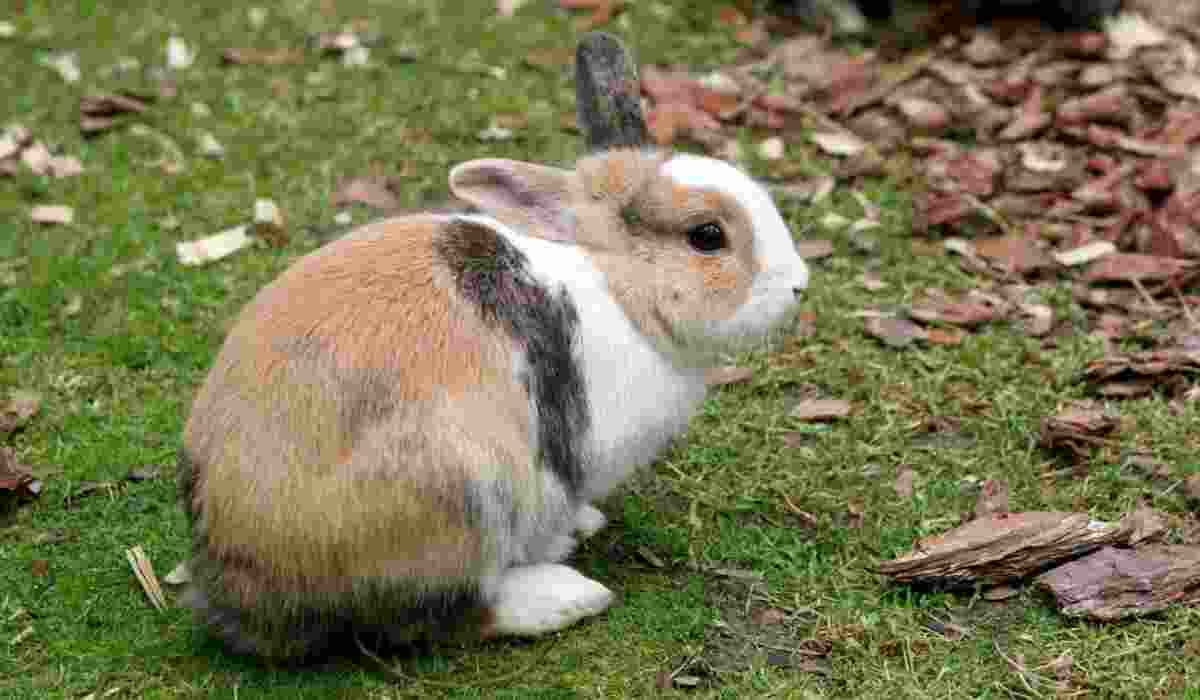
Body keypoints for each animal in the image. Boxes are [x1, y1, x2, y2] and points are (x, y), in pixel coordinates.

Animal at [177, 32, 811, 667]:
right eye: (707, 236)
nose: (800, 285)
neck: (617, 287)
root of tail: (241, 580)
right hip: (461, 494)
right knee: (435, 614)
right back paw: (566, 595)